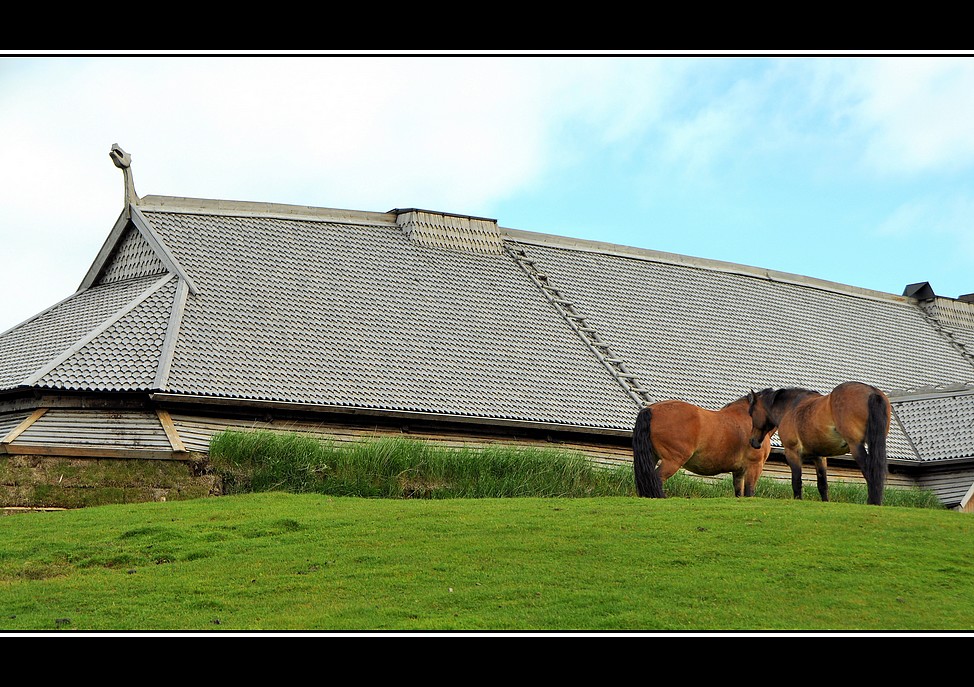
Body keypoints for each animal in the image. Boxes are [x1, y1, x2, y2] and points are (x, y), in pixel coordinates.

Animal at [636, 398, 772, 500]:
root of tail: (651, 409)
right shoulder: (754, 466)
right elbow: (750, 491)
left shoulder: (739, 471)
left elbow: (739, 492)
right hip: (672, 461)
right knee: (657, 478)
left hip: (652, 457)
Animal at [752, 382, 896, 506]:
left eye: (751, 413)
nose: (754, 442)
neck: (790, 408)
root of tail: (872, 392)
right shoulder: (819, 457)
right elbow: (822, 485)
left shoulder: (792, 452)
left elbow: (796, 481)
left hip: (856, 446)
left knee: (869, 470)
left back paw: (872, 501)